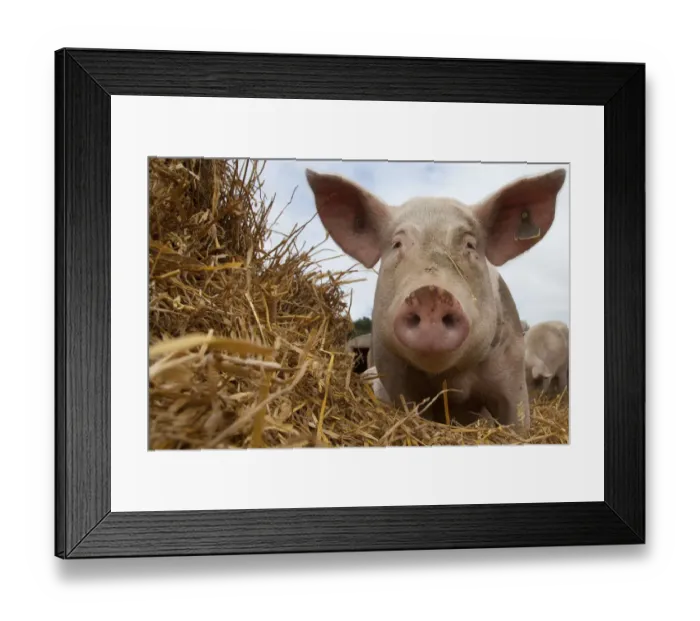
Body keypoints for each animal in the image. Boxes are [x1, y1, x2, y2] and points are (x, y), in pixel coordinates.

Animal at [305, 167, 567, 431]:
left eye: (470, 245)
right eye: (397, 244)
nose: (430, 294)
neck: (451, 380)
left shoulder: (512, 370)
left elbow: (517, 422)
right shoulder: (394, 372)